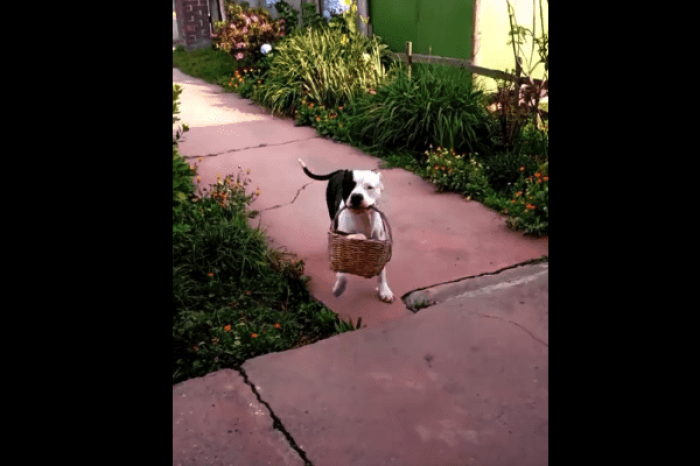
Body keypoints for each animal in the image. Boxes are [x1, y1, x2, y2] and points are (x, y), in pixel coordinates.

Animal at [296, 158, 394, 304]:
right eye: (349, 186)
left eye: (369, 187)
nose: (356, 196)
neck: (362, 216)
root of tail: (341, 171)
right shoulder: (343, 236)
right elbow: (343, 263)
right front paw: (340, 286)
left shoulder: (381, 242)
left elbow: (381, 271)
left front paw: (384, 290)